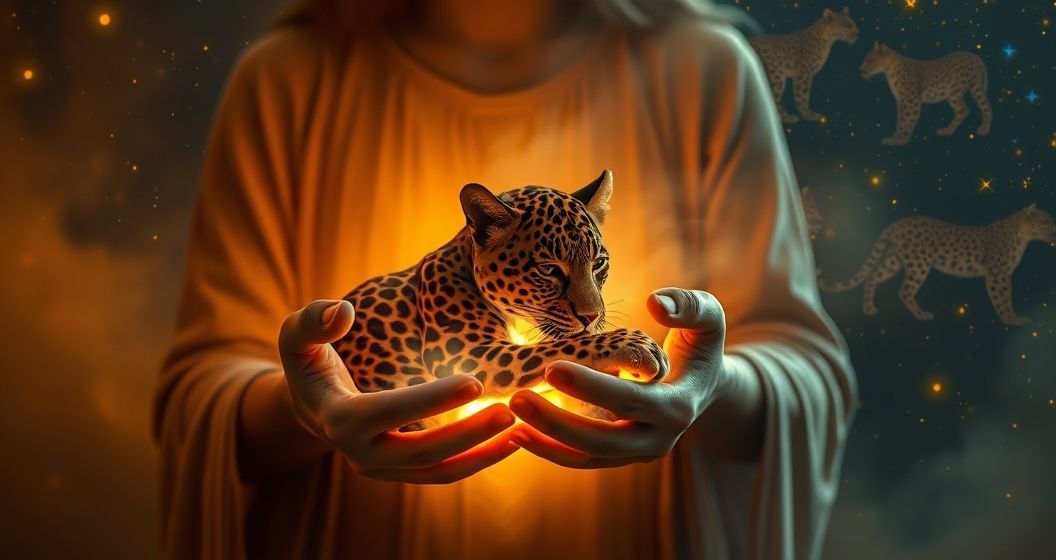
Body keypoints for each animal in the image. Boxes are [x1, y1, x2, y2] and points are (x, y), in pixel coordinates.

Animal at [331, 170, 669, 426]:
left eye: (598, 263)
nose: (592, 316)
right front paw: (636, 345)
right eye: (548, 269)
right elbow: (559, 347)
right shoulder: (467, 355)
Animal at [818, 204, 1056, 326]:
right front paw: (1012, 319)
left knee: (872, 276)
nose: (1055, 231)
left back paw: (868, 309)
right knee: (904, 290)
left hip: (893, 260)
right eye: (1045, 222)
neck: (1023, 237)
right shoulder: (998, 275)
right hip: (919, 264)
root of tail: (896, 223)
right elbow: (1003, 297)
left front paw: (1011, 318)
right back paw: (922, 315)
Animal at [860, 42, 992, 146]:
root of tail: (976, 57)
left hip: (968, 90)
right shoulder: (901, 101)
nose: (860, 70)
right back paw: (947, 131)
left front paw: (900, 140)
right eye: (866, 59)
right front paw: (896, 136)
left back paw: (984, 129)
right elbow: (900, 120)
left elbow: (906, 119)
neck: (889, 72)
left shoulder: (910, 101)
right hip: (956, 94)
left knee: (985, 108)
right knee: (964, 110)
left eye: (871, 60)